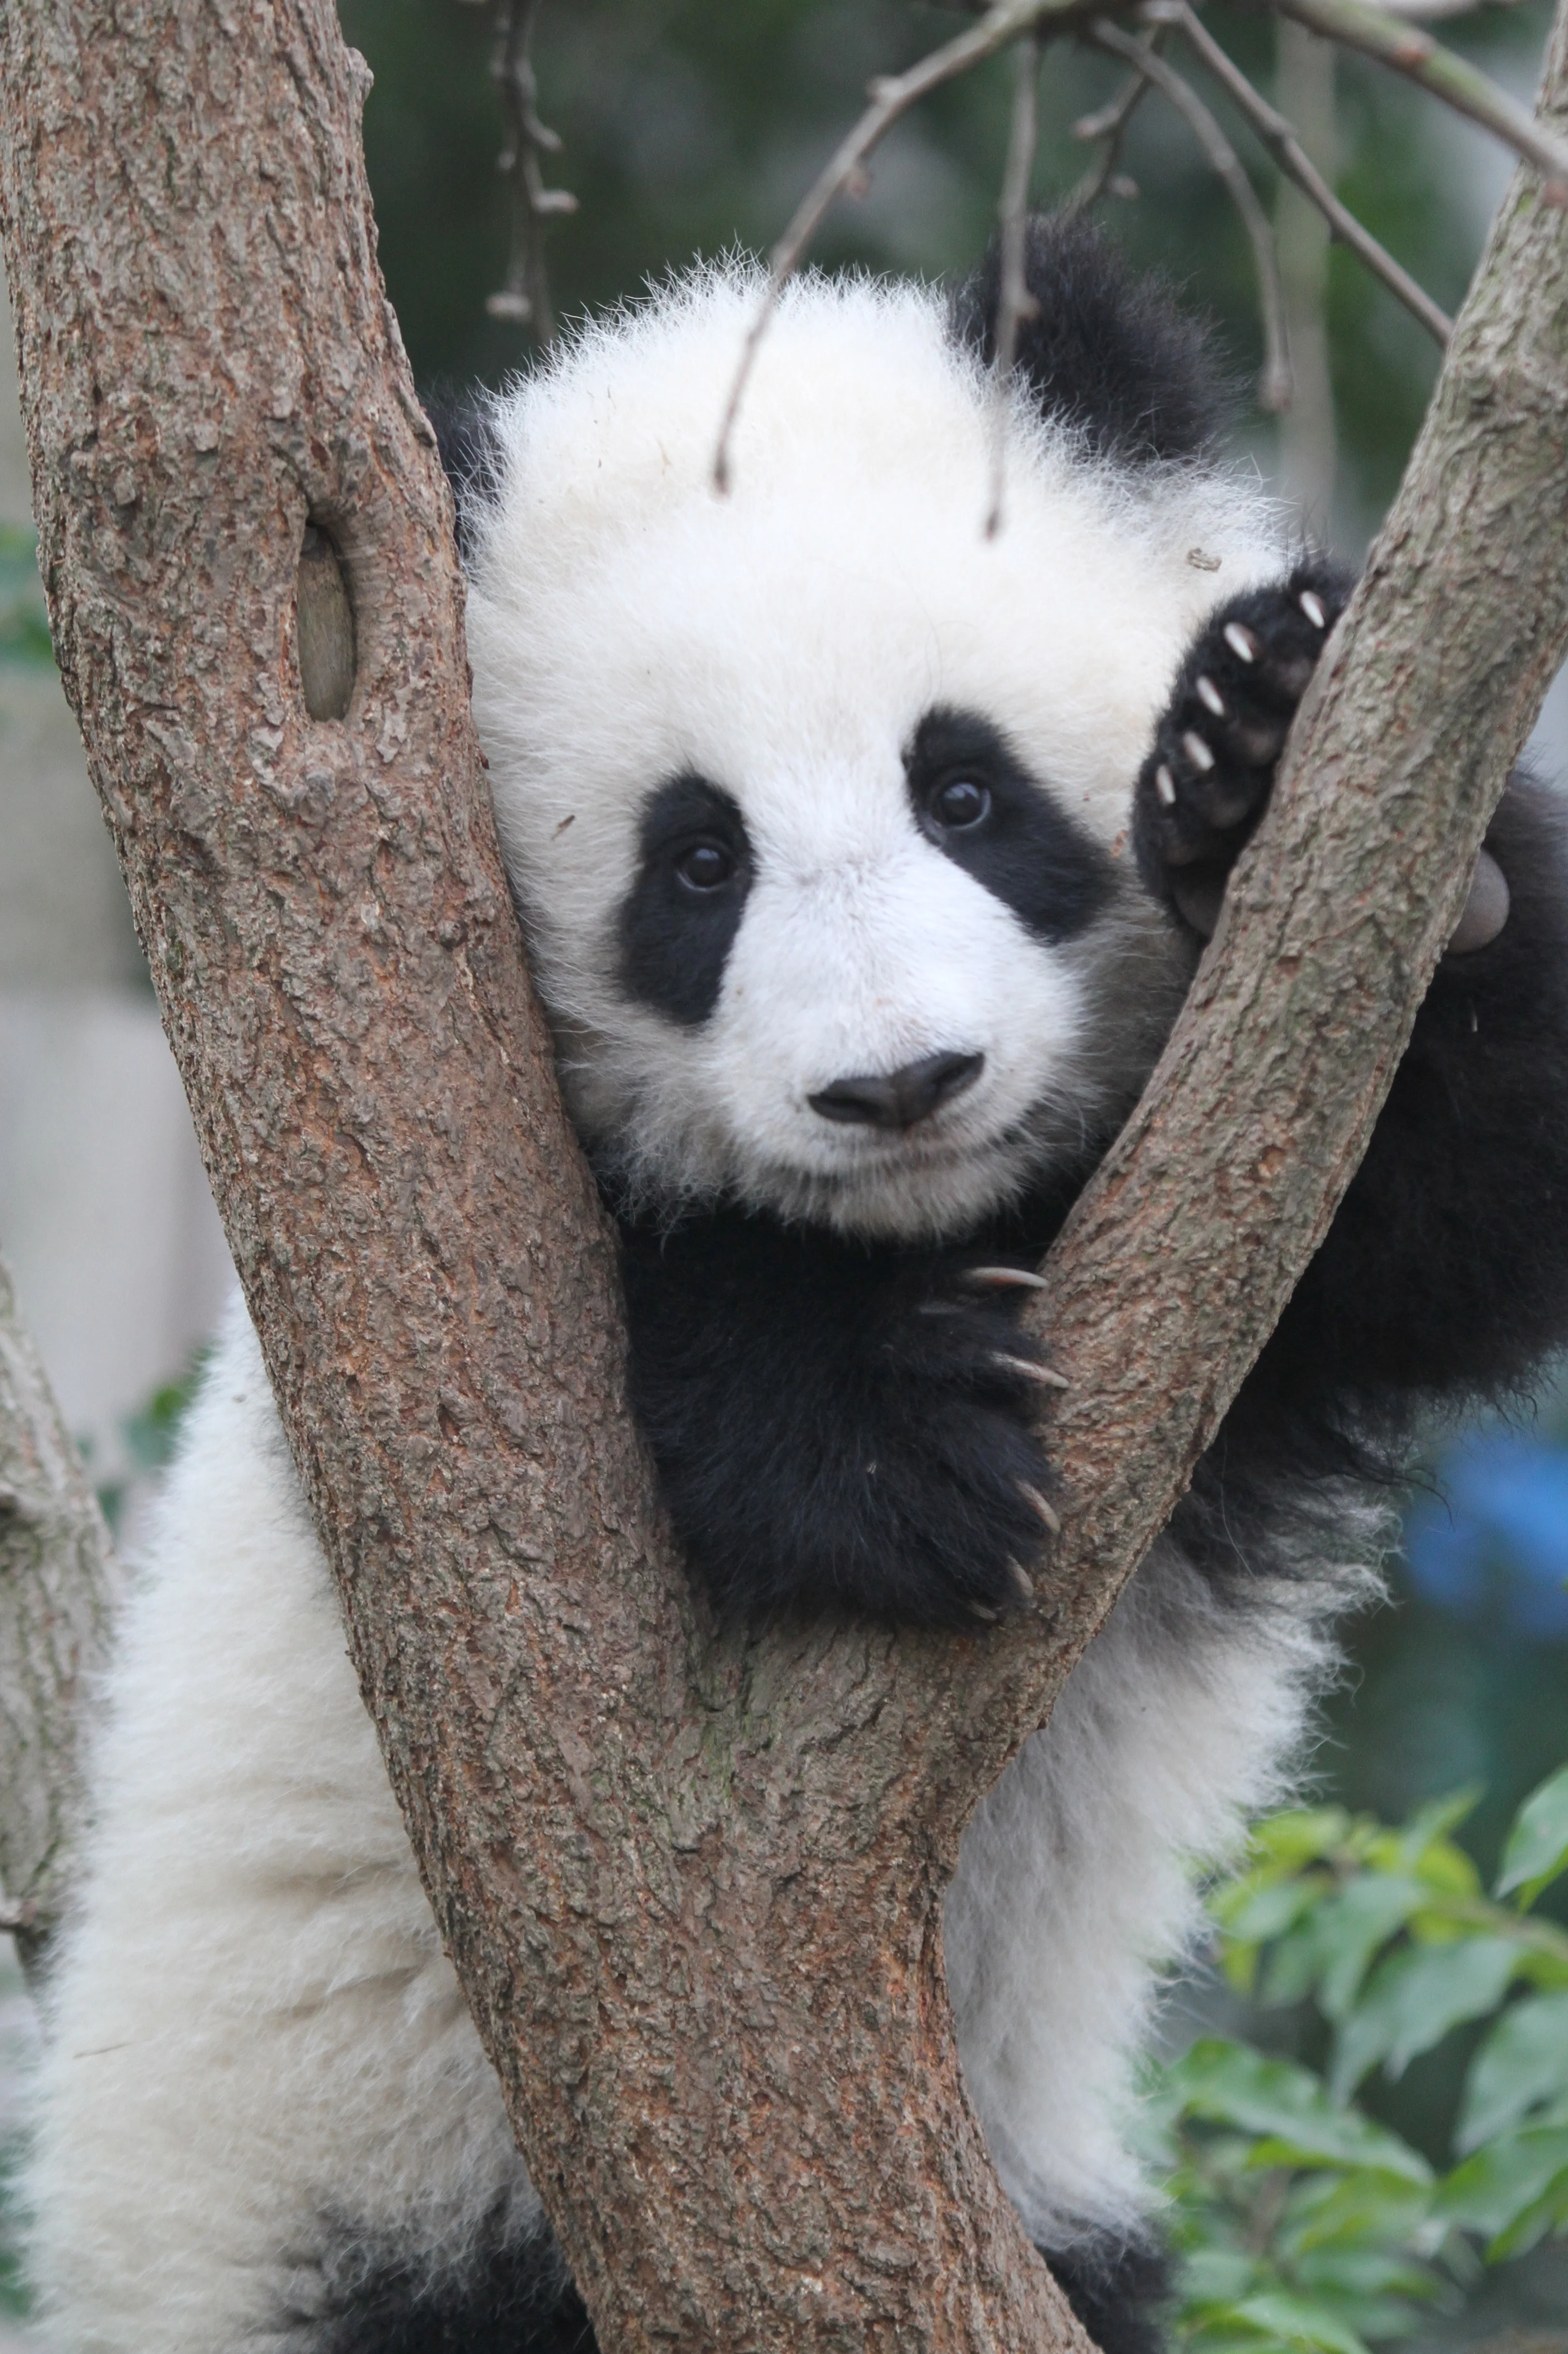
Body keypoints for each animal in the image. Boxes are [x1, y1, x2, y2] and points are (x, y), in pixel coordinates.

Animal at [25, 213, 1568, 2354]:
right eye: (694, 862)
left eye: (965, 791)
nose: (897, 1082)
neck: (938, 1217)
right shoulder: (432, 1222)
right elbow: (613, 1347)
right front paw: (893, 1440)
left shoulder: (1267, 1279)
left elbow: (1465, 1214)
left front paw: (1267, 761)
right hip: (349, 2210)